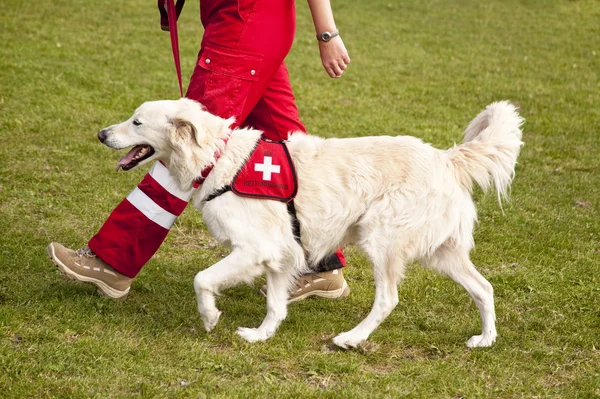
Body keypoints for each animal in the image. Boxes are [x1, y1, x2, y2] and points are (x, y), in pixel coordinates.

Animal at [98, 100, 520, 350]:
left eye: (136, 122)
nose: (101, 133)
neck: (219, 159)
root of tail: (446, 158)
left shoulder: (255, 249)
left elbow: (202, 279)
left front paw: (210, 316)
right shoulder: (280, 255)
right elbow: (275, 304)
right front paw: (261, 335)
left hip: (382, 242)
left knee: (388, 298)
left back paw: (351, 338)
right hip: (441, 253)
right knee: (484, 288)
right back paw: (485, 340)